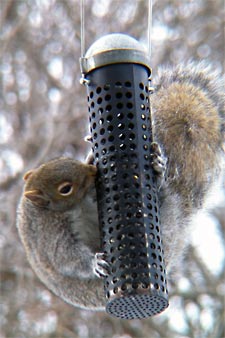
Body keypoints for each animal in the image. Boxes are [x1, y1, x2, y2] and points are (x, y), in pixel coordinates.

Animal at [16, 62, 224, 308]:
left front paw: (90, 155)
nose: (93, 171)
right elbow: (67, 258)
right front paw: (94, 263)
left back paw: (157, 168)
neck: (70, 207)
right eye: (65, 189)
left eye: (65, 159)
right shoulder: (50, 234)